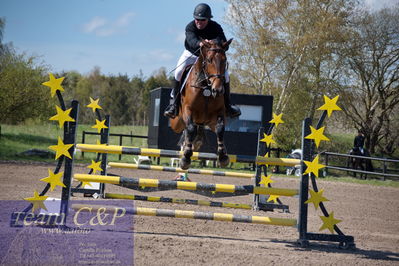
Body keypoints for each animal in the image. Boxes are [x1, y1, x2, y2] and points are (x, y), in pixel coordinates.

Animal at [170, 38, 233, 169]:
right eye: (209, 60)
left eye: (224, 60)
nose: (218, 90)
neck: (206, 87)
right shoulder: (188, 109)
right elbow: (190, 128)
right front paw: (185, 158)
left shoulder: (219, 113)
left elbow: (220, 129)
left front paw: (223, 157)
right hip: (176, 123)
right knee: (187, 128)